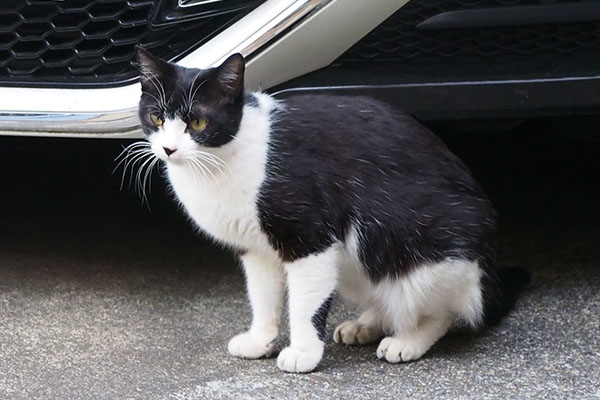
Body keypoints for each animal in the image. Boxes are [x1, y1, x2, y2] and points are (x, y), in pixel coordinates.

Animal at [131, 47, 528, 376]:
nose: (168, 149)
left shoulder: (310, 238)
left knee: (438, 308)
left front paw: (303, 352)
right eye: (157, 118)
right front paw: (260, 340)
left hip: (416, 244)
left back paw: (407, 339)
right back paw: (366, 324)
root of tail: (487, 271)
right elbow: (262, 297)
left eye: (198, 123)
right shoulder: (257, 250)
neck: (221, 159)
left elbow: (305, 304)